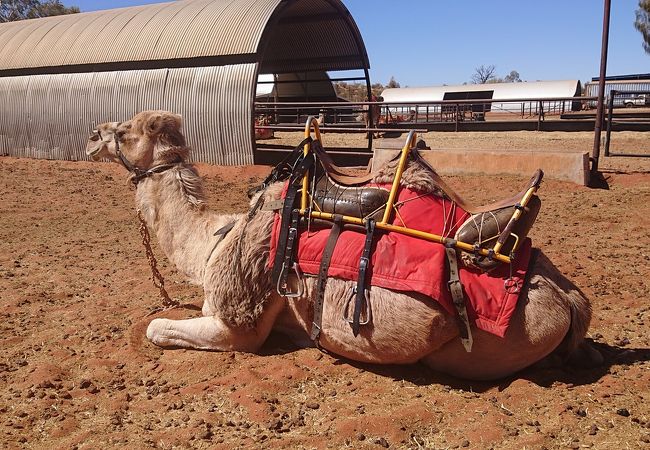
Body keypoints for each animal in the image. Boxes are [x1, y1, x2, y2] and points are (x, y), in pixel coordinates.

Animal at [83, 110, 600, 380]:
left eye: (124, 132)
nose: (91, 136)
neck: (214, 242)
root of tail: (569, 298)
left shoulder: (239, 324)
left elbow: (157, 328)